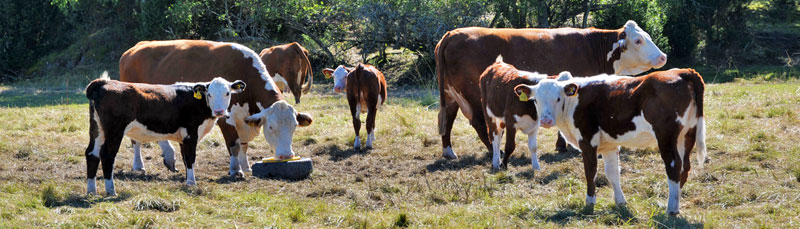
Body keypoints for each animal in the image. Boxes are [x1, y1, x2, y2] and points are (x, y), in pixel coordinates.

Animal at [83, 74, 247, 195]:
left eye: (227, 93)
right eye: (210, 94)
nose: (219, 111)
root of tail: (104, 82)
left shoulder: (183, 138)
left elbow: (185, 159)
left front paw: (188, 180)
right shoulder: (191, 134)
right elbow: (190, 158)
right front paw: (192, 183)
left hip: (97, 130)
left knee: (92, 154)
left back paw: (91, 192)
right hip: (114, 131)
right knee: (107, 155)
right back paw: (111, 191)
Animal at [120, 39, 314, 177]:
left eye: (294, 126)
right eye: (271, 127)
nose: (286, 155)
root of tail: (134, 49)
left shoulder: (245, 120)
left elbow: (244, 146)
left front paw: (246, 167)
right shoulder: (226, 118)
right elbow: (234, 145)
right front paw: (236, 170)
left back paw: (169, 156)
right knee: (135, 140)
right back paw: (139, 165)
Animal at [434, 20, 664, 159]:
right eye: (638, 40)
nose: (663, 57)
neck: (593, 48)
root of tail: (453, 33)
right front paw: (562, 145)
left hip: (450, 94)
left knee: (448, 117)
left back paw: (449, 151)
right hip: (474, 95)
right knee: (480, 122)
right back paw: (493, 150)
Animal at [512, 68, 708, 215]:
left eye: (558, 98)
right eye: (536, 100)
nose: (545, 120)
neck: (573, 101)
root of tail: (682, 71)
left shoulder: (587, 141)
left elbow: (590, 172)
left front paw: (590, 202)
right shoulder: (609, 146)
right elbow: (613, 174)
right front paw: (620, 202)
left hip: (666, 137)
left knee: (674, 167)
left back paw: (671, 208)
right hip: (686, 135)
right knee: (684, 167)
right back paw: (676, 200)